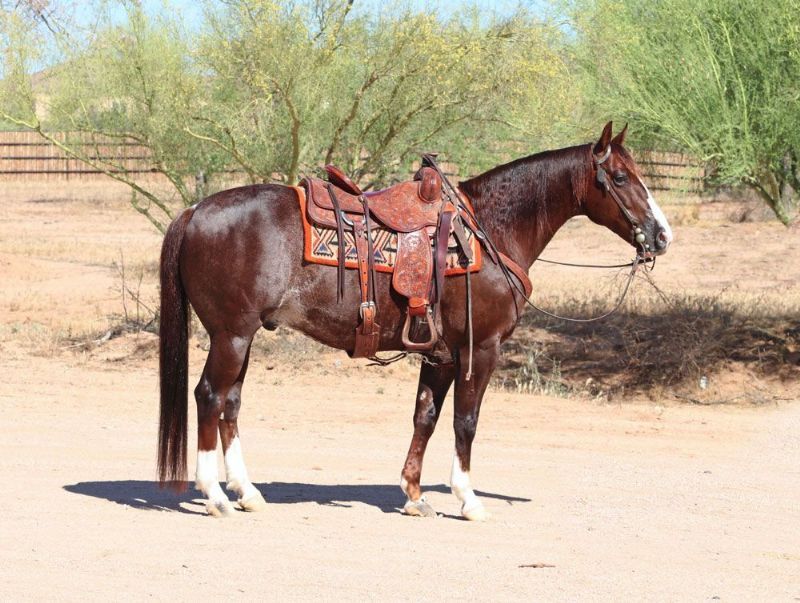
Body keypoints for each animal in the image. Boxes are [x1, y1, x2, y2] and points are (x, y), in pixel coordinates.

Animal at [157, 122, 673, 519]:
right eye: (620, 177)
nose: (662, 235)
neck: (489, 230)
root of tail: (195, 210)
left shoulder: (439, 354)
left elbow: (425, 416)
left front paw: (412, 494)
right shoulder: (479, 349)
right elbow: (466, 421)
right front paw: (468, 498)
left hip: (243, 337)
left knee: (230, 404)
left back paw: (246, 492)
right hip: (231, 336)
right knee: (209, 397)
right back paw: (214, 496)